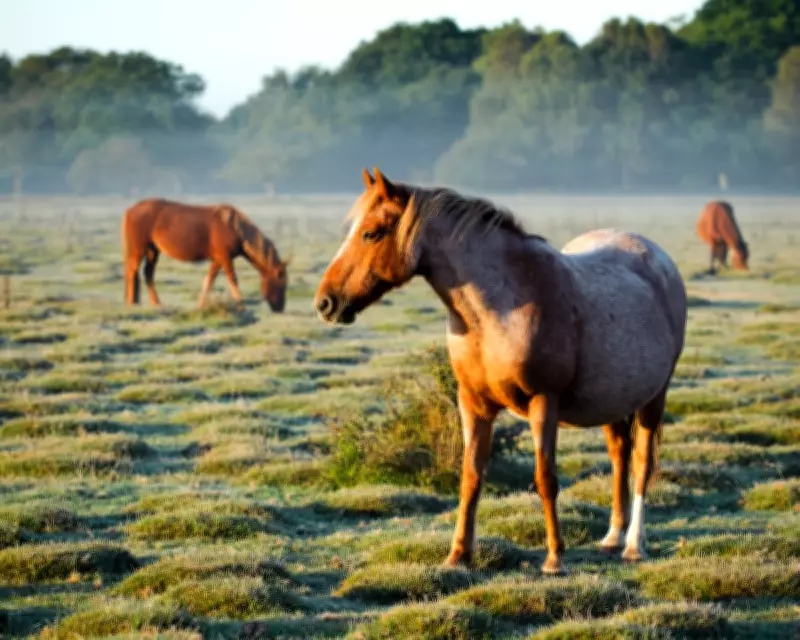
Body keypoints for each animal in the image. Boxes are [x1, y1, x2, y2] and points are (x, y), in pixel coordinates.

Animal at [121, 199, 289, 310]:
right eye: (282, 283)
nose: (279, 308)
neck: (235, 227)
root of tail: (130, 210)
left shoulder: (217, 259)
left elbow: (208, 281)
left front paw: (200, 305)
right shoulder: (225, 258)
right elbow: (232, 280)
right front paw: (242, 306)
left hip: (153, 251)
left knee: (147, 273)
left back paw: (155, 303)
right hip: (138, 250)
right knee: (131, 271)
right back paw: (131, 303)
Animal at [314, 168, 687, 575]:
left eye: (371, 233)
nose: (325, 303)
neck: (498, 311)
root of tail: (659, 259)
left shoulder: (543, 402)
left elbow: (545, 478)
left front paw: (554, 558)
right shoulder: (473, 404)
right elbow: (470, 477)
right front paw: (457, 555)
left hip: (654, 398)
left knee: (641, 464)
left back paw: (633, 544)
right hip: (613, 402)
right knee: (620, 456)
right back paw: (612, 537)